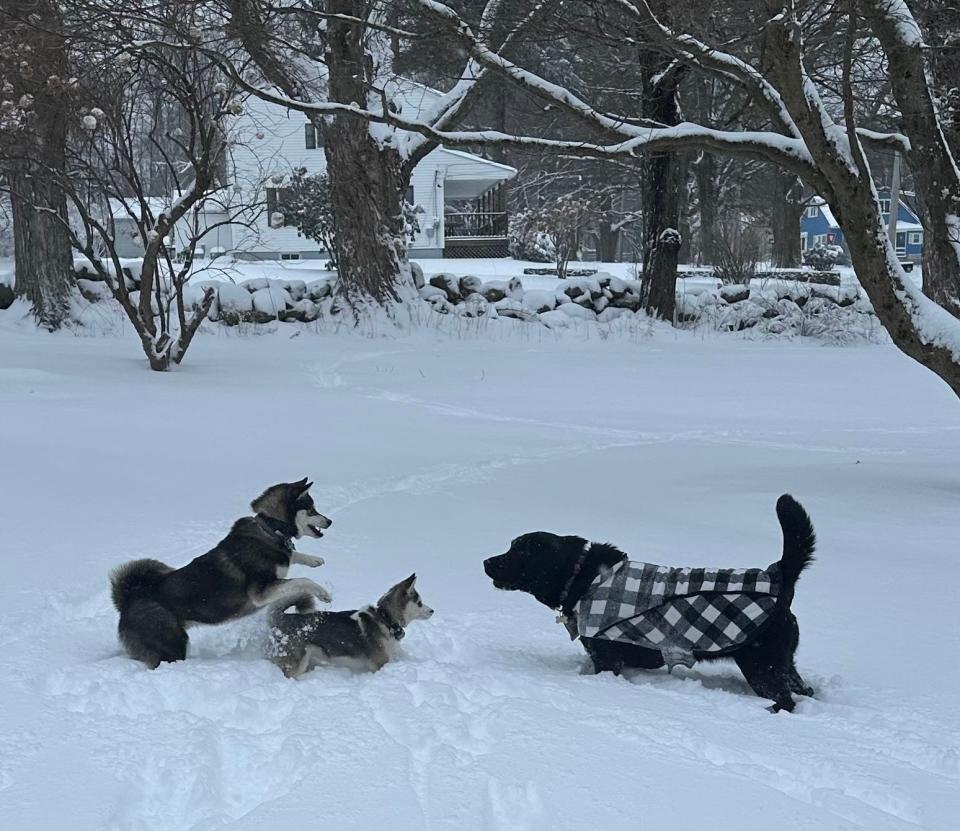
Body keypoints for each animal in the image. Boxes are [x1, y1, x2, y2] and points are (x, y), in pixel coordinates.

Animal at [110, 480, 330, 668]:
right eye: (311, 509)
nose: (330, 521)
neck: (270, 528)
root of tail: (128, 600)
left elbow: (294, 558)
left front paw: (314, 560)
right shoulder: (261, 592)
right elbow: (302, 579)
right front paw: (323, 593)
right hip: (172, 645)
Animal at [484, 494, 812, 716]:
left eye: (517, 552)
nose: (486, 561)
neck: (582, 576)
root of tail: (778, 577)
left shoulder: (606, 659)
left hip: (761, 665)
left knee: (786, 699)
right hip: (781, 662)